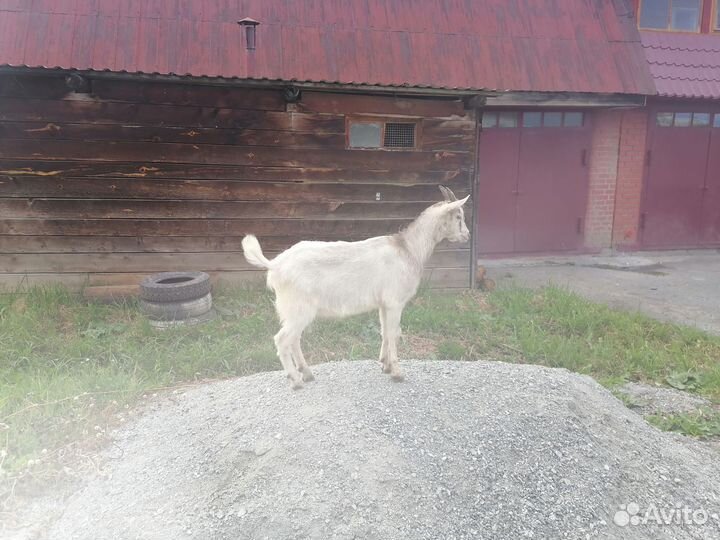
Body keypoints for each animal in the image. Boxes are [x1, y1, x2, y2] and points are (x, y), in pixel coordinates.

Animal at [241, 186, 470, 389]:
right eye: (458, 216)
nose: (467, 236)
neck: (409, 249)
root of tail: (275, 265)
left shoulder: (384, 304)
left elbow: (385, 332)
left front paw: (385, 365)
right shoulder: (395, 301)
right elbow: (394, 333)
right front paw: (397, 373)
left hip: (294, 310)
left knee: (294, 339)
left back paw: (306, 373)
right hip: (299, 307)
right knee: (282, 340)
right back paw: (296, 381)